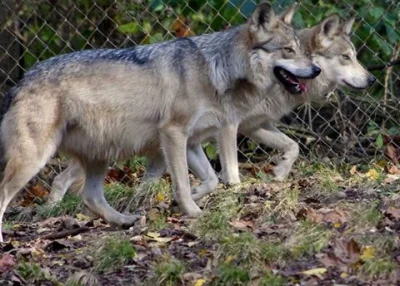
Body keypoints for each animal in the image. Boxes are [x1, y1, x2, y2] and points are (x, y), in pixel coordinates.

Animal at [0, 2, 318, 240]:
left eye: (300, 49)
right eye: (288, 50)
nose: (315, 70)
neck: (216, 70)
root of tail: (19, 82)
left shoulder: (192, 142)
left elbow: (212, 179)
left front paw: (193, 200)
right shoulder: (175, 134)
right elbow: (187, 183)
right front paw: (194, 212)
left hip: (100, 155)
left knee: (91, 198)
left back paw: (126, 220)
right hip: (34, 159)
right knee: (7, 194)